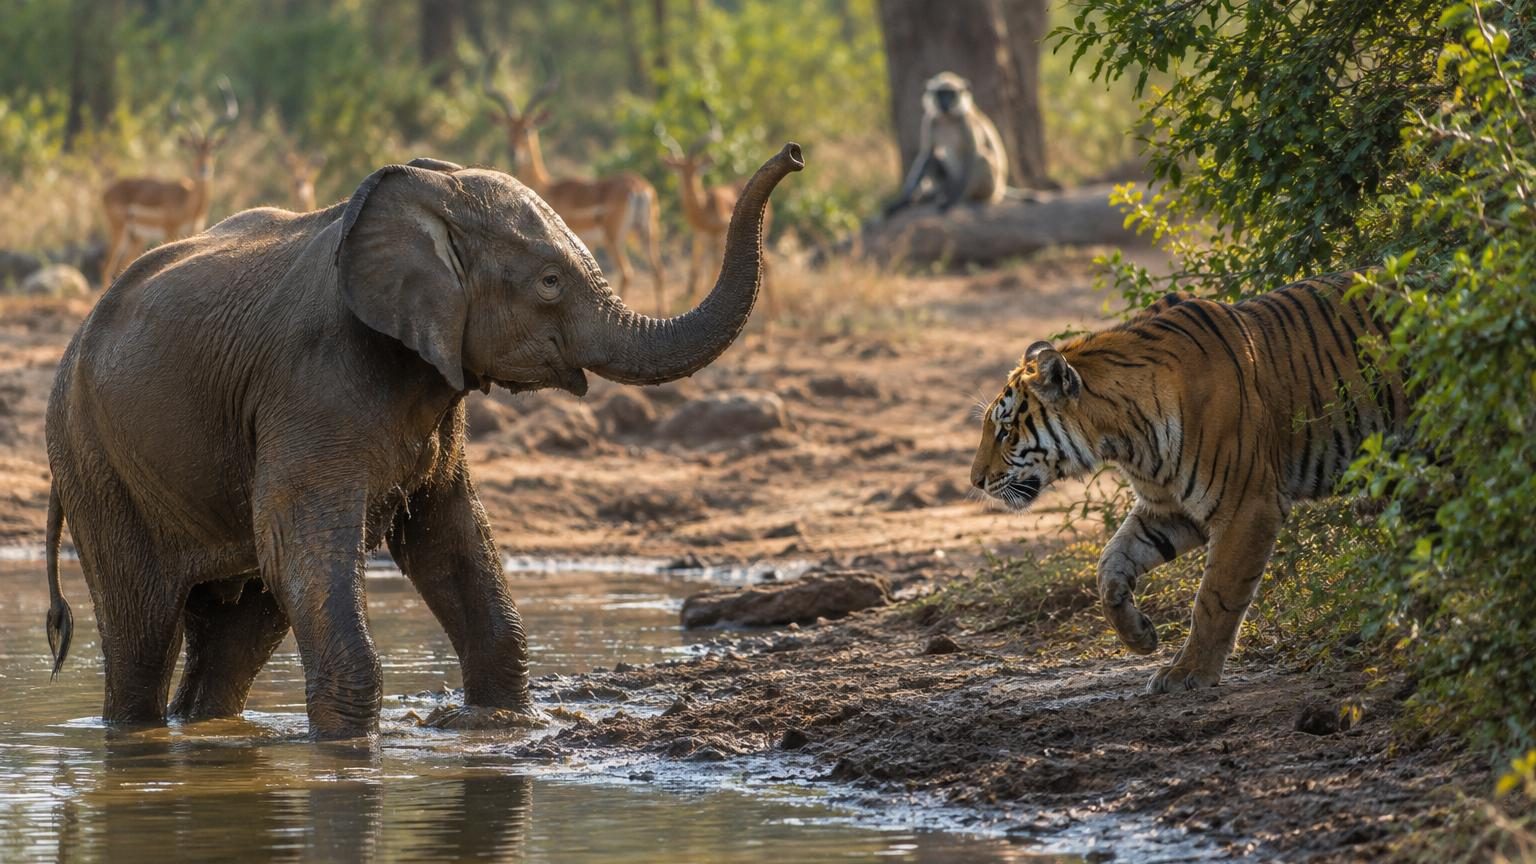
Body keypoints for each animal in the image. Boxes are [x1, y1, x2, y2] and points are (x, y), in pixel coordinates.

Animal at [42, 143, 803, 740]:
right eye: (549, 283)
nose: (794, 155)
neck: (430, 196)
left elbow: (450, 539)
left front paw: (501, 726)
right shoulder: (309, 383)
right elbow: (305, 545)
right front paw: (349, 750)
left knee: (237, 633)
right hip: (93, 459)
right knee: (144, 634)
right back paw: (136, 735)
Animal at [970, 273, 1405, 692]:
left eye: (1005, 431)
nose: (976, 481)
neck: (1122, 438)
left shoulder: (1247, 505)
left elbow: (1215, 596)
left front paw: (1189, 671)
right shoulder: (1168, 509)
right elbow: (1110, 562)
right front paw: (1139, 636)